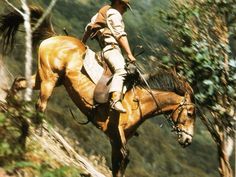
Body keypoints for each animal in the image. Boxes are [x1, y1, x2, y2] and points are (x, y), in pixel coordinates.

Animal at [0, 6, 196, 177]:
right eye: (190, 113)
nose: (187, 141)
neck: (139, 102)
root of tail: (55, 37)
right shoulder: (116, 134)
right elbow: (123, 158)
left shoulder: (115, 139)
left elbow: (119, 162)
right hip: (50, 78)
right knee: (40, 104)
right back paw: (36, 129)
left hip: (46, 78)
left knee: (19, 82)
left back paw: (9, 107)